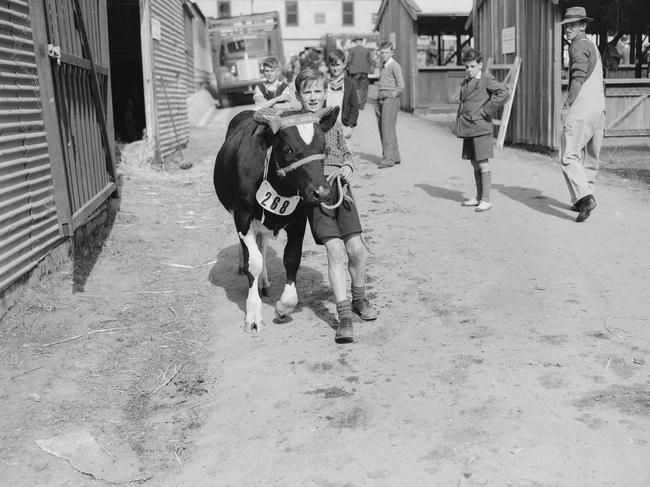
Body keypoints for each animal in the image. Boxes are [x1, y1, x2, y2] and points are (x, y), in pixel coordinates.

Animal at [214, 107, 336, 334]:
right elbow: (253, 262)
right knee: (251, 252)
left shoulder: (299, 220)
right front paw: (253, 315)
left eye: (325, 147)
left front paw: (284, 307)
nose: (322, 192)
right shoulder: (243, 218)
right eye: (288, 150)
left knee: (262, 246)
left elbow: (292, 258)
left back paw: (263, 282)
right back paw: (243, 266)